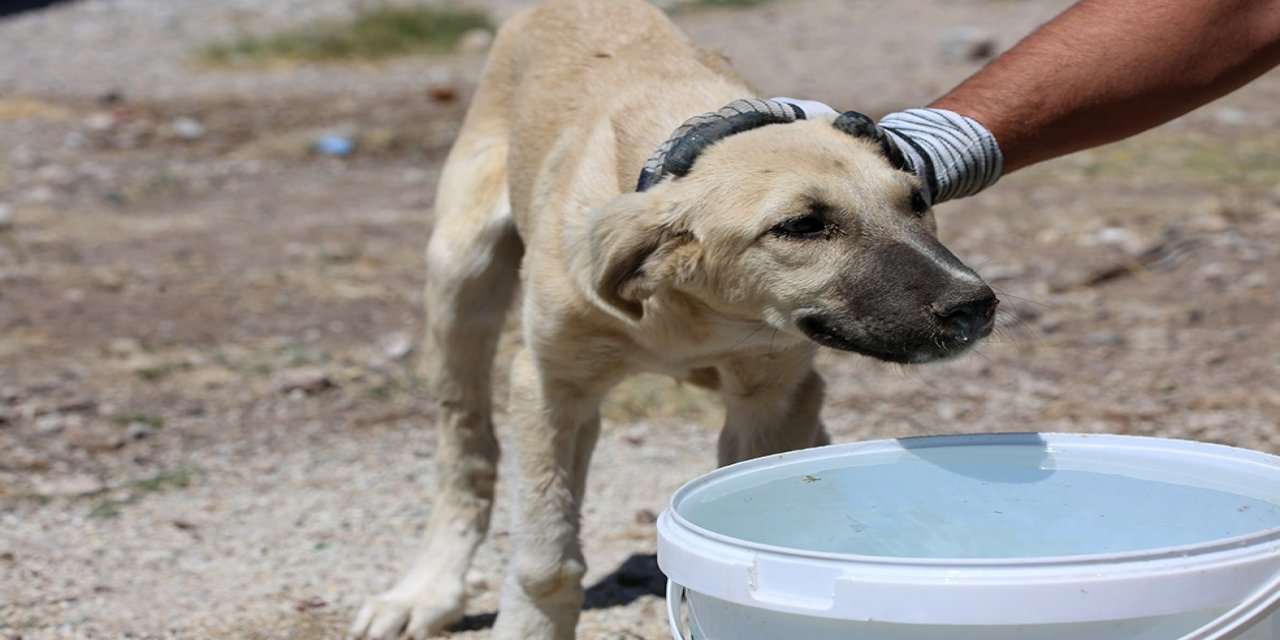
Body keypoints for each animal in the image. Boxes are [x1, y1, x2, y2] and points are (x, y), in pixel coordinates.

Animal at [350, 1, 998, 640]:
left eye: (917, 200)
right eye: (801, 226)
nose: (973, 306)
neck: (694, 307)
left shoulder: (773, 396)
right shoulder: (549, 387)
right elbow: (545, 559)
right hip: (461, 276)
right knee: (466, 451)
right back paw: (425, 592)